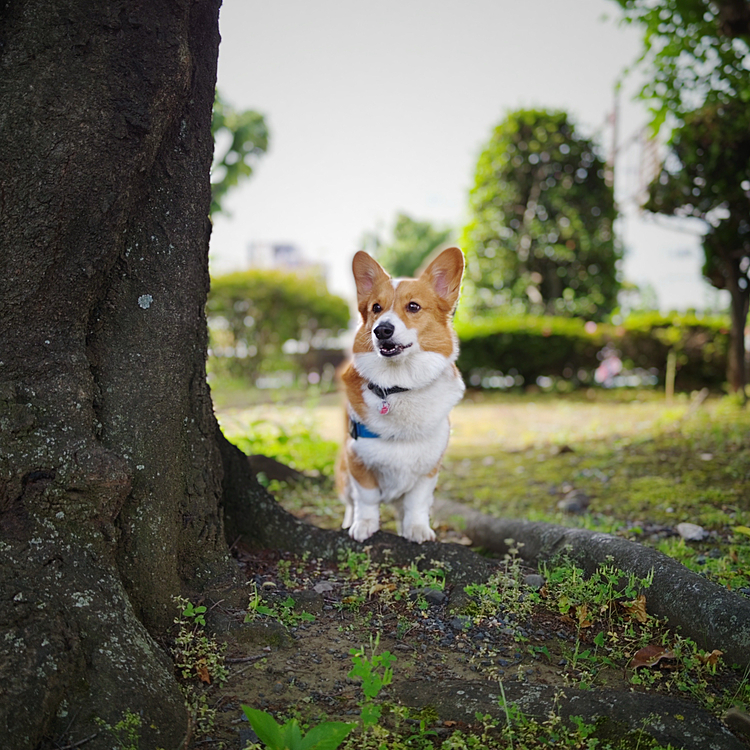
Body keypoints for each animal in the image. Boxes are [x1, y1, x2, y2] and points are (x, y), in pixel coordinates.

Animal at [336, 248, 464, 548]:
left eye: (413, 307)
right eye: (376, 308)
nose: (381, 330)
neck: (398, 386)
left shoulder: (429, 468)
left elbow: (417, 503)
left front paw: (416, 529)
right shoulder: (357, 460)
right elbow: (367, 498)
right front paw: (364, 525)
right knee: (349, 501)